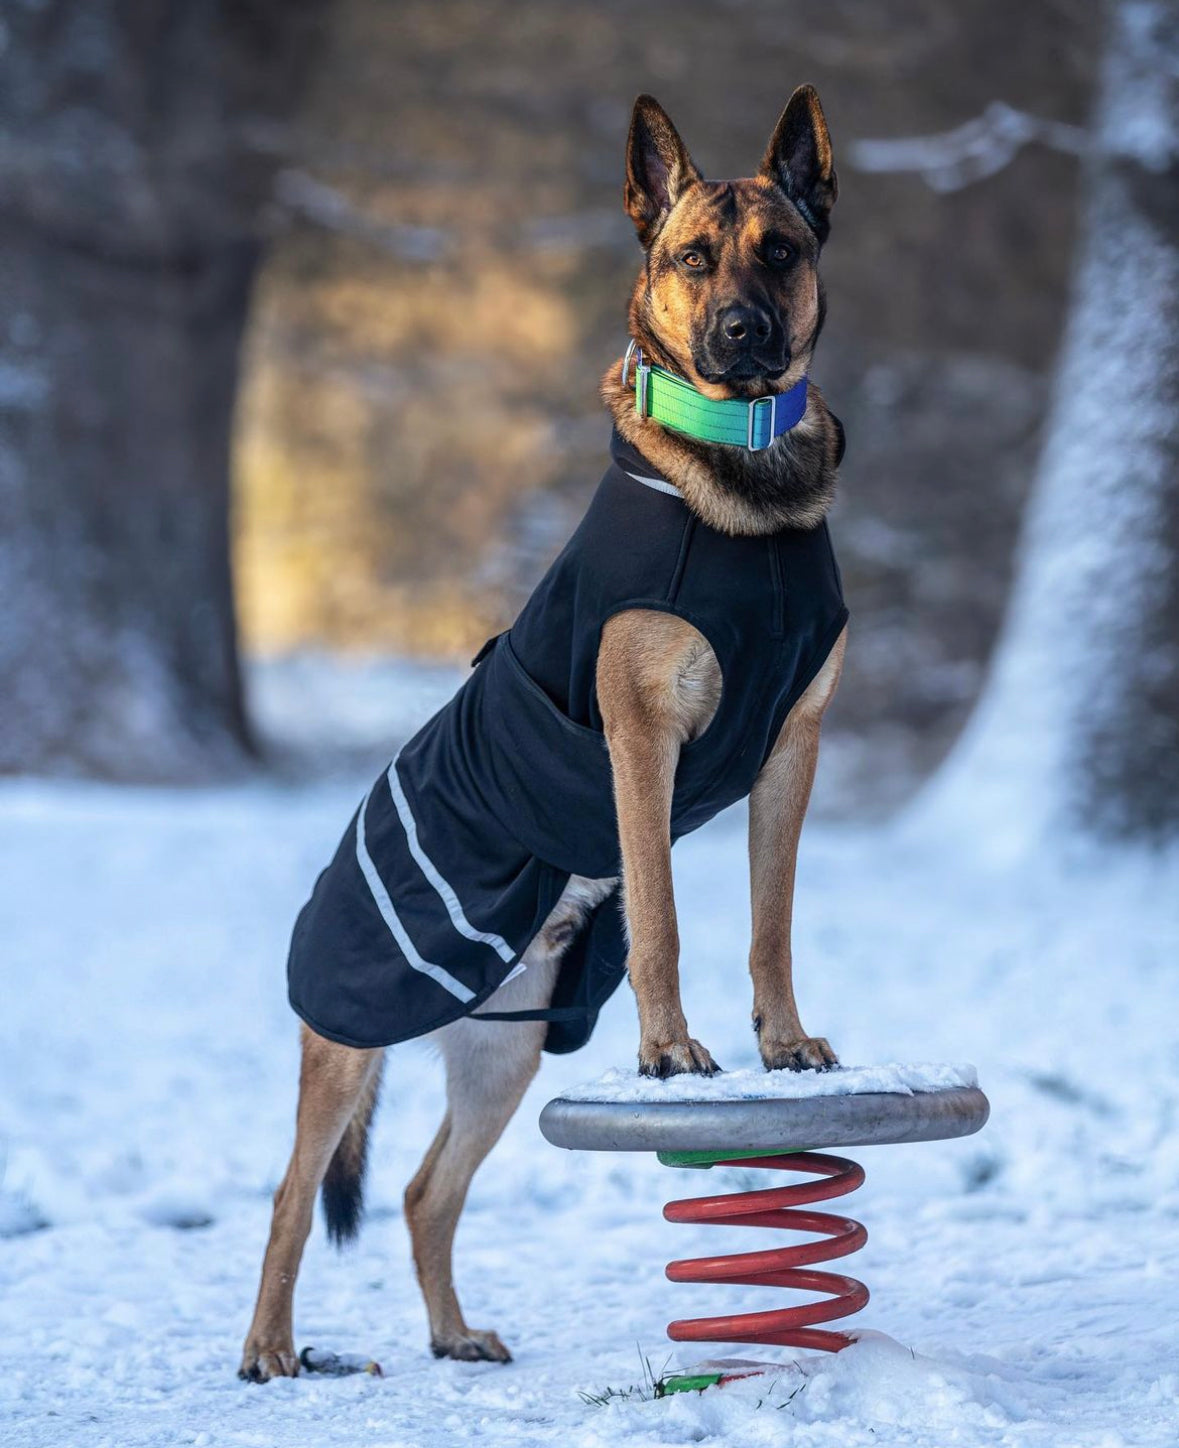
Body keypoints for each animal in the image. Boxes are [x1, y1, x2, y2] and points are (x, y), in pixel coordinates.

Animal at [240, 87, 851, 1378]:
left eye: (782, 250)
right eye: (692, 257)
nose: (741, 332)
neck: (746, 489)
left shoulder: (793, 747)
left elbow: (769, 922)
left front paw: (785, 1042)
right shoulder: (642, 742)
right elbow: (665, 920)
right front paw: (671, 1051)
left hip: (505, 1054)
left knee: (425, 1191)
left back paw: (452, 1333)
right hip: (352, 1038)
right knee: (290, 1195)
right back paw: (269, 1348)